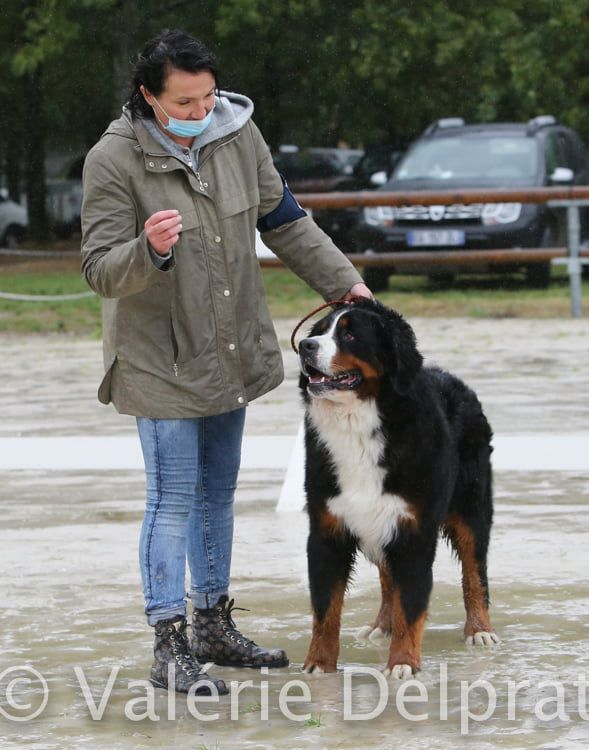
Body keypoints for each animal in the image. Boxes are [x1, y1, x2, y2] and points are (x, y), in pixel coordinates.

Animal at [298, 298, 496, 680]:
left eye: (349, 334)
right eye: (320, 331)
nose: (304, 346)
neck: (359, 424)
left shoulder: (414, 531)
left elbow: (412, 603)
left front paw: (403, 662)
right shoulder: (327, 531)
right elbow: (325, 609)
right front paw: (319, 664)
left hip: (471, 510)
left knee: (474, 572)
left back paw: (479, 629)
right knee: (388, 578)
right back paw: (381, 625)